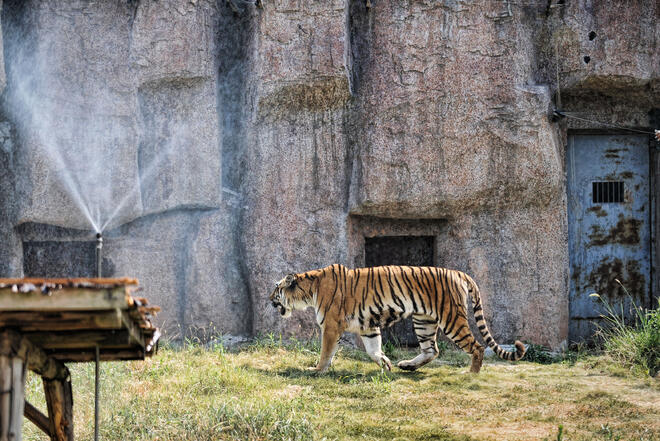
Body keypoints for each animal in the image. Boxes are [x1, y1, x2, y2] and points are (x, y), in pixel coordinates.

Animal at [268, 262, 524, 372]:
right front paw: (386, 363)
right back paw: (407, 365)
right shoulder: (369, 326)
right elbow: (374, 349)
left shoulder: (331, 326)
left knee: (477, 347)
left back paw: (471, 375)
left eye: (276, 288)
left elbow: (326, 352)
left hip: (452, 319)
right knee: (432, 350)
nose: (268, 298)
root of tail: (459, 273)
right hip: (423, 321)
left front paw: (316, 370)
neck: (309, 291)